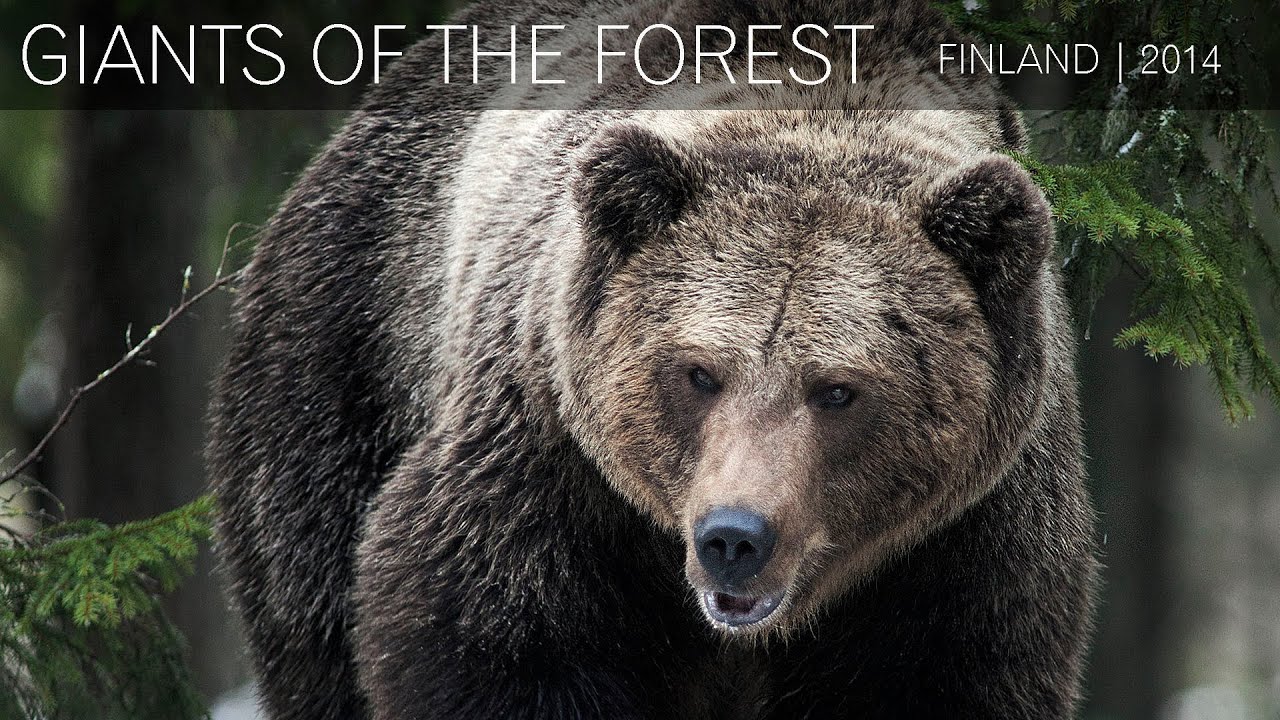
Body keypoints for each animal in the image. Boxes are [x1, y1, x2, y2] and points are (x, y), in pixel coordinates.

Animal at [207, 0, 1099, 718]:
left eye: (839, 390)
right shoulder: (549, 469)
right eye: (699, 371)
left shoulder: (963, 547)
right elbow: (497, 642)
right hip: (348, 357)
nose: (735, 536)